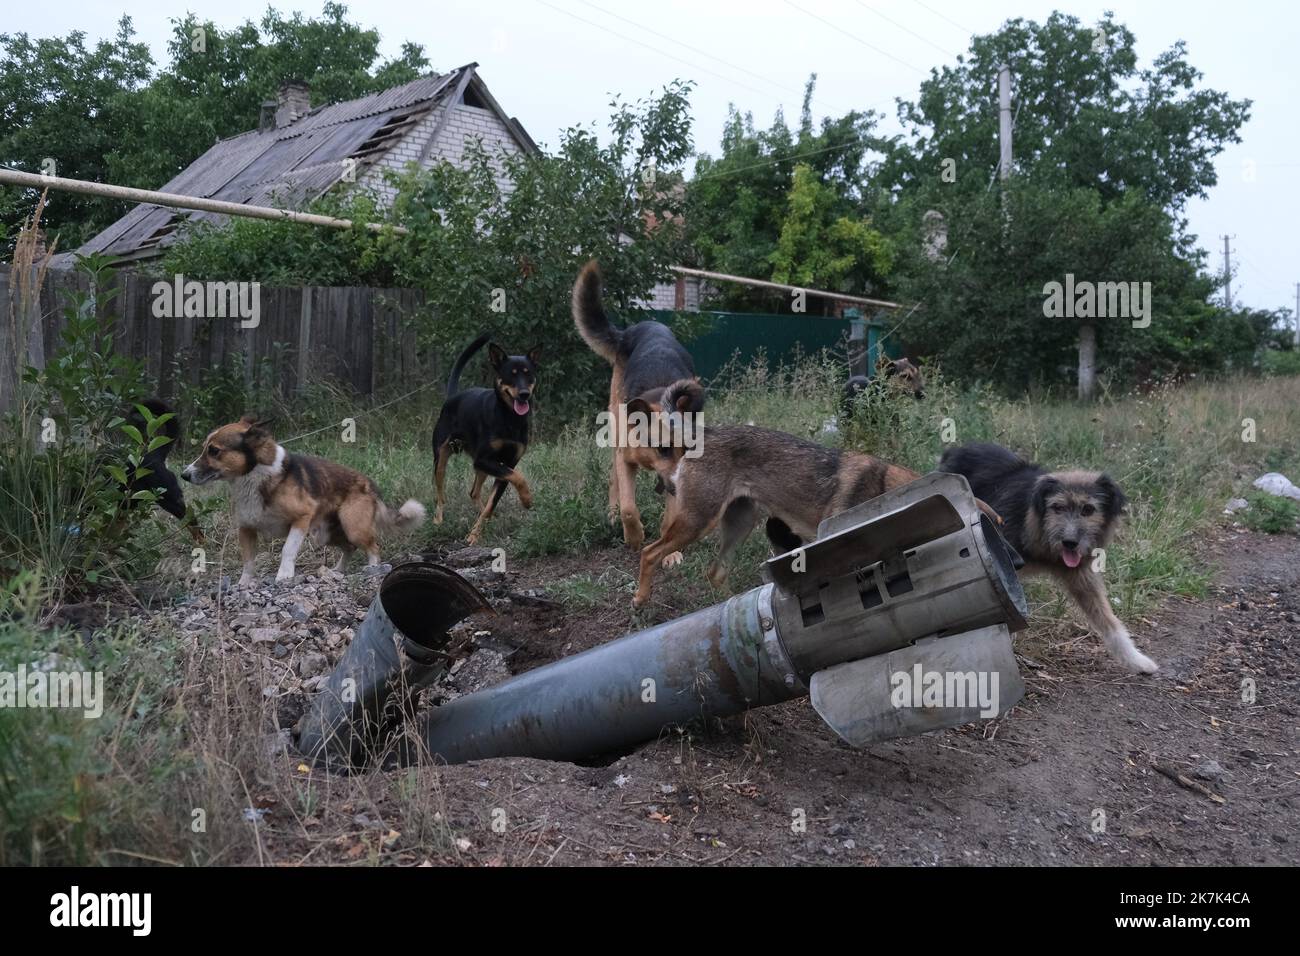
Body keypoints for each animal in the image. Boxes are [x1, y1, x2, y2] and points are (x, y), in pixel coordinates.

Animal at [182, 416, 426, 587]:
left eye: (214, 451)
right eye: (205, 449)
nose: (184, 475)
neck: (254, 476)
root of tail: (369, 483)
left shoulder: (301, 519)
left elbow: (287, 550)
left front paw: (284, 575)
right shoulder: (247, 529)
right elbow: (248, 561)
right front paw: (244, 584)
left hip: (353, 527)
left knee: (373, 547)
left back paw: (372, 570)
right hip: (326, 534)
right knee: (349, 548)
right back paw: (337, 571)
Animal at [434, 330, 540, 541]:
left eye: (529, 374)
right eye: (510, 375)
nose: (524, 394)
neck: (509, 418)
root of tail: (452, 397)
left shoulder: (506, 463)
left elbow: (494, 501)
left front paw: (476, 533)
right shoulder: (486, 460)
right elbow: (519, 477)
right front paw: (527, 499)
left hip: (482, 466)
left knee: (474, 492)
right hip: (441, 456)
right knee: (440, 493)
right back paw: (438, 519)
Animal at [574, 260, 707, 554]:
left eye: (688, 449)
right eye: (663, 448)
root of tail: (631, 331)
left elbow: (670, 517)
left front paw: (670, 553)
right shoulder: (627, 460)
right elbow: (628, 508)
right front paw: (634, 536)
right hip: (614, 429)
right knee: (613, 479)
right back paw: (612, 515)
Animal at [634, 424, 998, 606]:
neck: (885, 489)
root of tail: (702, 434)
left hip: (740, 524)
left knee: (715, 573)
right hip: (698, 523)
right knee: (649, 552)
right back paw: (640, 599)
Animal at [935, 442, 1159, 671]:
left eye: (1088, 509)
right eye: (1057, 507)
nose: (1070, 542)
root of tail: (957, 449)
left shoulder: (1081, 577)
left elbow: (1109, 621)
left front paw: (1137, 660)